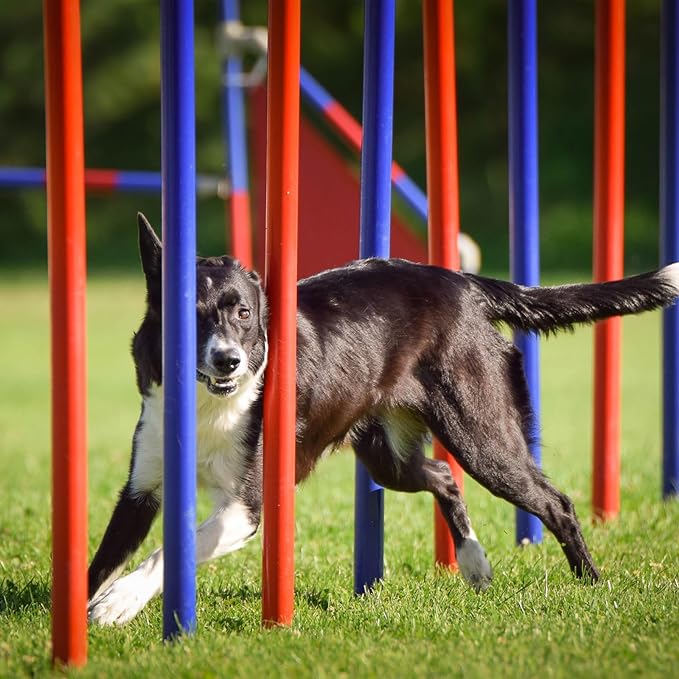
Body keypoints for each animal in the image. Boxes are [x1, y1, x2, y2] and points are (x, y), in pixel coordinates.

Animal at [89, 216, 679, 628]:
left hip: (483, 438)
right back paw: (474, 563)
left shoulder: (246, 508)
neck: (208, 408)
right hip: (387, 456)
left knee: (554, 502)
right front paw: (81, 613)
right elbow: (102, 559)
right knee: (441, 477)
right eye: (189, 314)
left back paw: (591, 585)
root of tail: (463, 284)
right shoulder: (140, 491)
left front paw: (118, 604)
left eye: (244, 314)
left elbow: (172, 549)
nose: (228, 361)